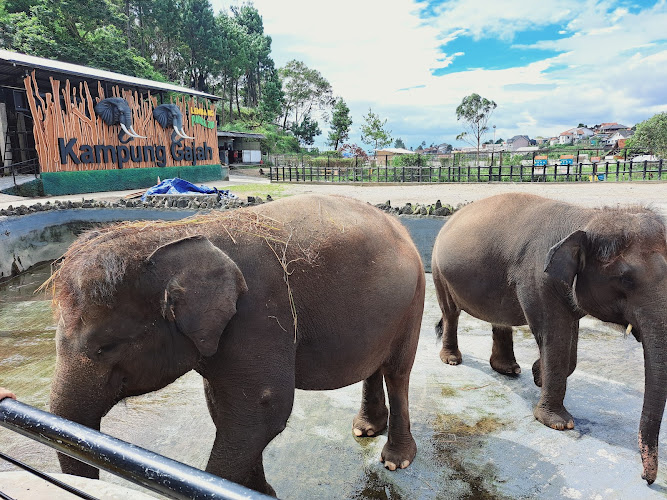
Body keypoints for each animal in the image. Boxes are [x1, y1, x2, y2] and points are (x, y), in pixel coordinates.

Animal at [49, 193, 426, 494]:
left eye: (106, 347)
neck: (173, 235)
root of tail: (400, 226)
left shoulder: (257, 315)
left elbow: (262, 410)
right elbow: (224, 409)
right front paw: (259, 491)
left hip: (414, 300)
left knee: (397, 371)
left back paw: (395, 460)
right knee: (375, 365)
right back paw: (365, 429)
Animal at [434, 192, 667, 484]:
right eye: (625, 279)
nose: (646, 479)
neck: (587, 217)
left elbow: (569, 342)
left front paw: (537, 374)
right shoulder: (538, 279)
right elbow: (553, 335)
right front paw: (559, 423)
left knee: (498, 317)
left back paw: (508, 369)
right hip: (439, 270)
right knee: (450, 312)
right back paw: (452, 360)